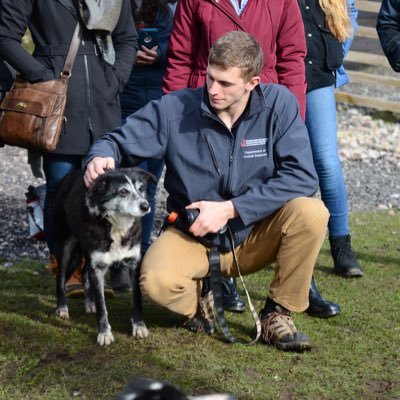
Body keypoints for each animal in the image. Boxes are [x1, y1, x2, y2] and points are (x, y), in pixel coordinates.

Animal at [51, 167, 155, 346]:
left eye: (141, 188)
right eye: (123, 192)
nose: (145, 206)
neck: (117, 226)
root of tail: (67, 178)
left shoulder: (133, 263)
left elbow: (137, 299)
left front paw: (139, 326)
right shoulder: (97, 267)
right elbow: (102, 306)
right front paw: (104, 333)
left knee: (84, 272)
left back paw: (89, 302)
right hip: (65, 246)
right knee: (61, 277)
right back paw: (62, 307)